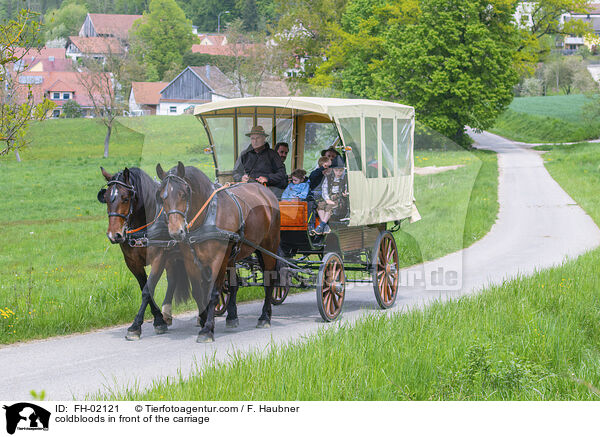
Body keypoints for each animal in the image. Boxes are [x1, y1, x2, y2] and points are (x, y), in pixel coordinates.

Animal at [96, 165, 195, 338]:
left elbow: (148, 290)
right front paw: (158, 319)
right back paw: (166, 314)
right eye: (106, 198)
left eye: (125, 198)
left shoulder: (159, 257)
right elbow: (145, 288)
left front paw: (136, 326)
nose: (114, 235)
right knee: (173, 279)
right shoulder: (132, 262)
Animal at [157, 162, 284, 342]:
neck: (207, 217)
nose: (176, 232)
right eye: (162, 197)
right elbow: (199, 292)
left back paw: (265, 317)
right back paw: (233, 317)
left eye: (183, 194)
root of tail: (266, 192)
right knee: (234, 284)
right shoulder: (191, 260)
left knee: (269, 280)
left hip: (268, 247)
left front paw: (207, 329)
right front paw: (203, 320)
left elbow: (213, 292)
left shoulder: (218, 260)